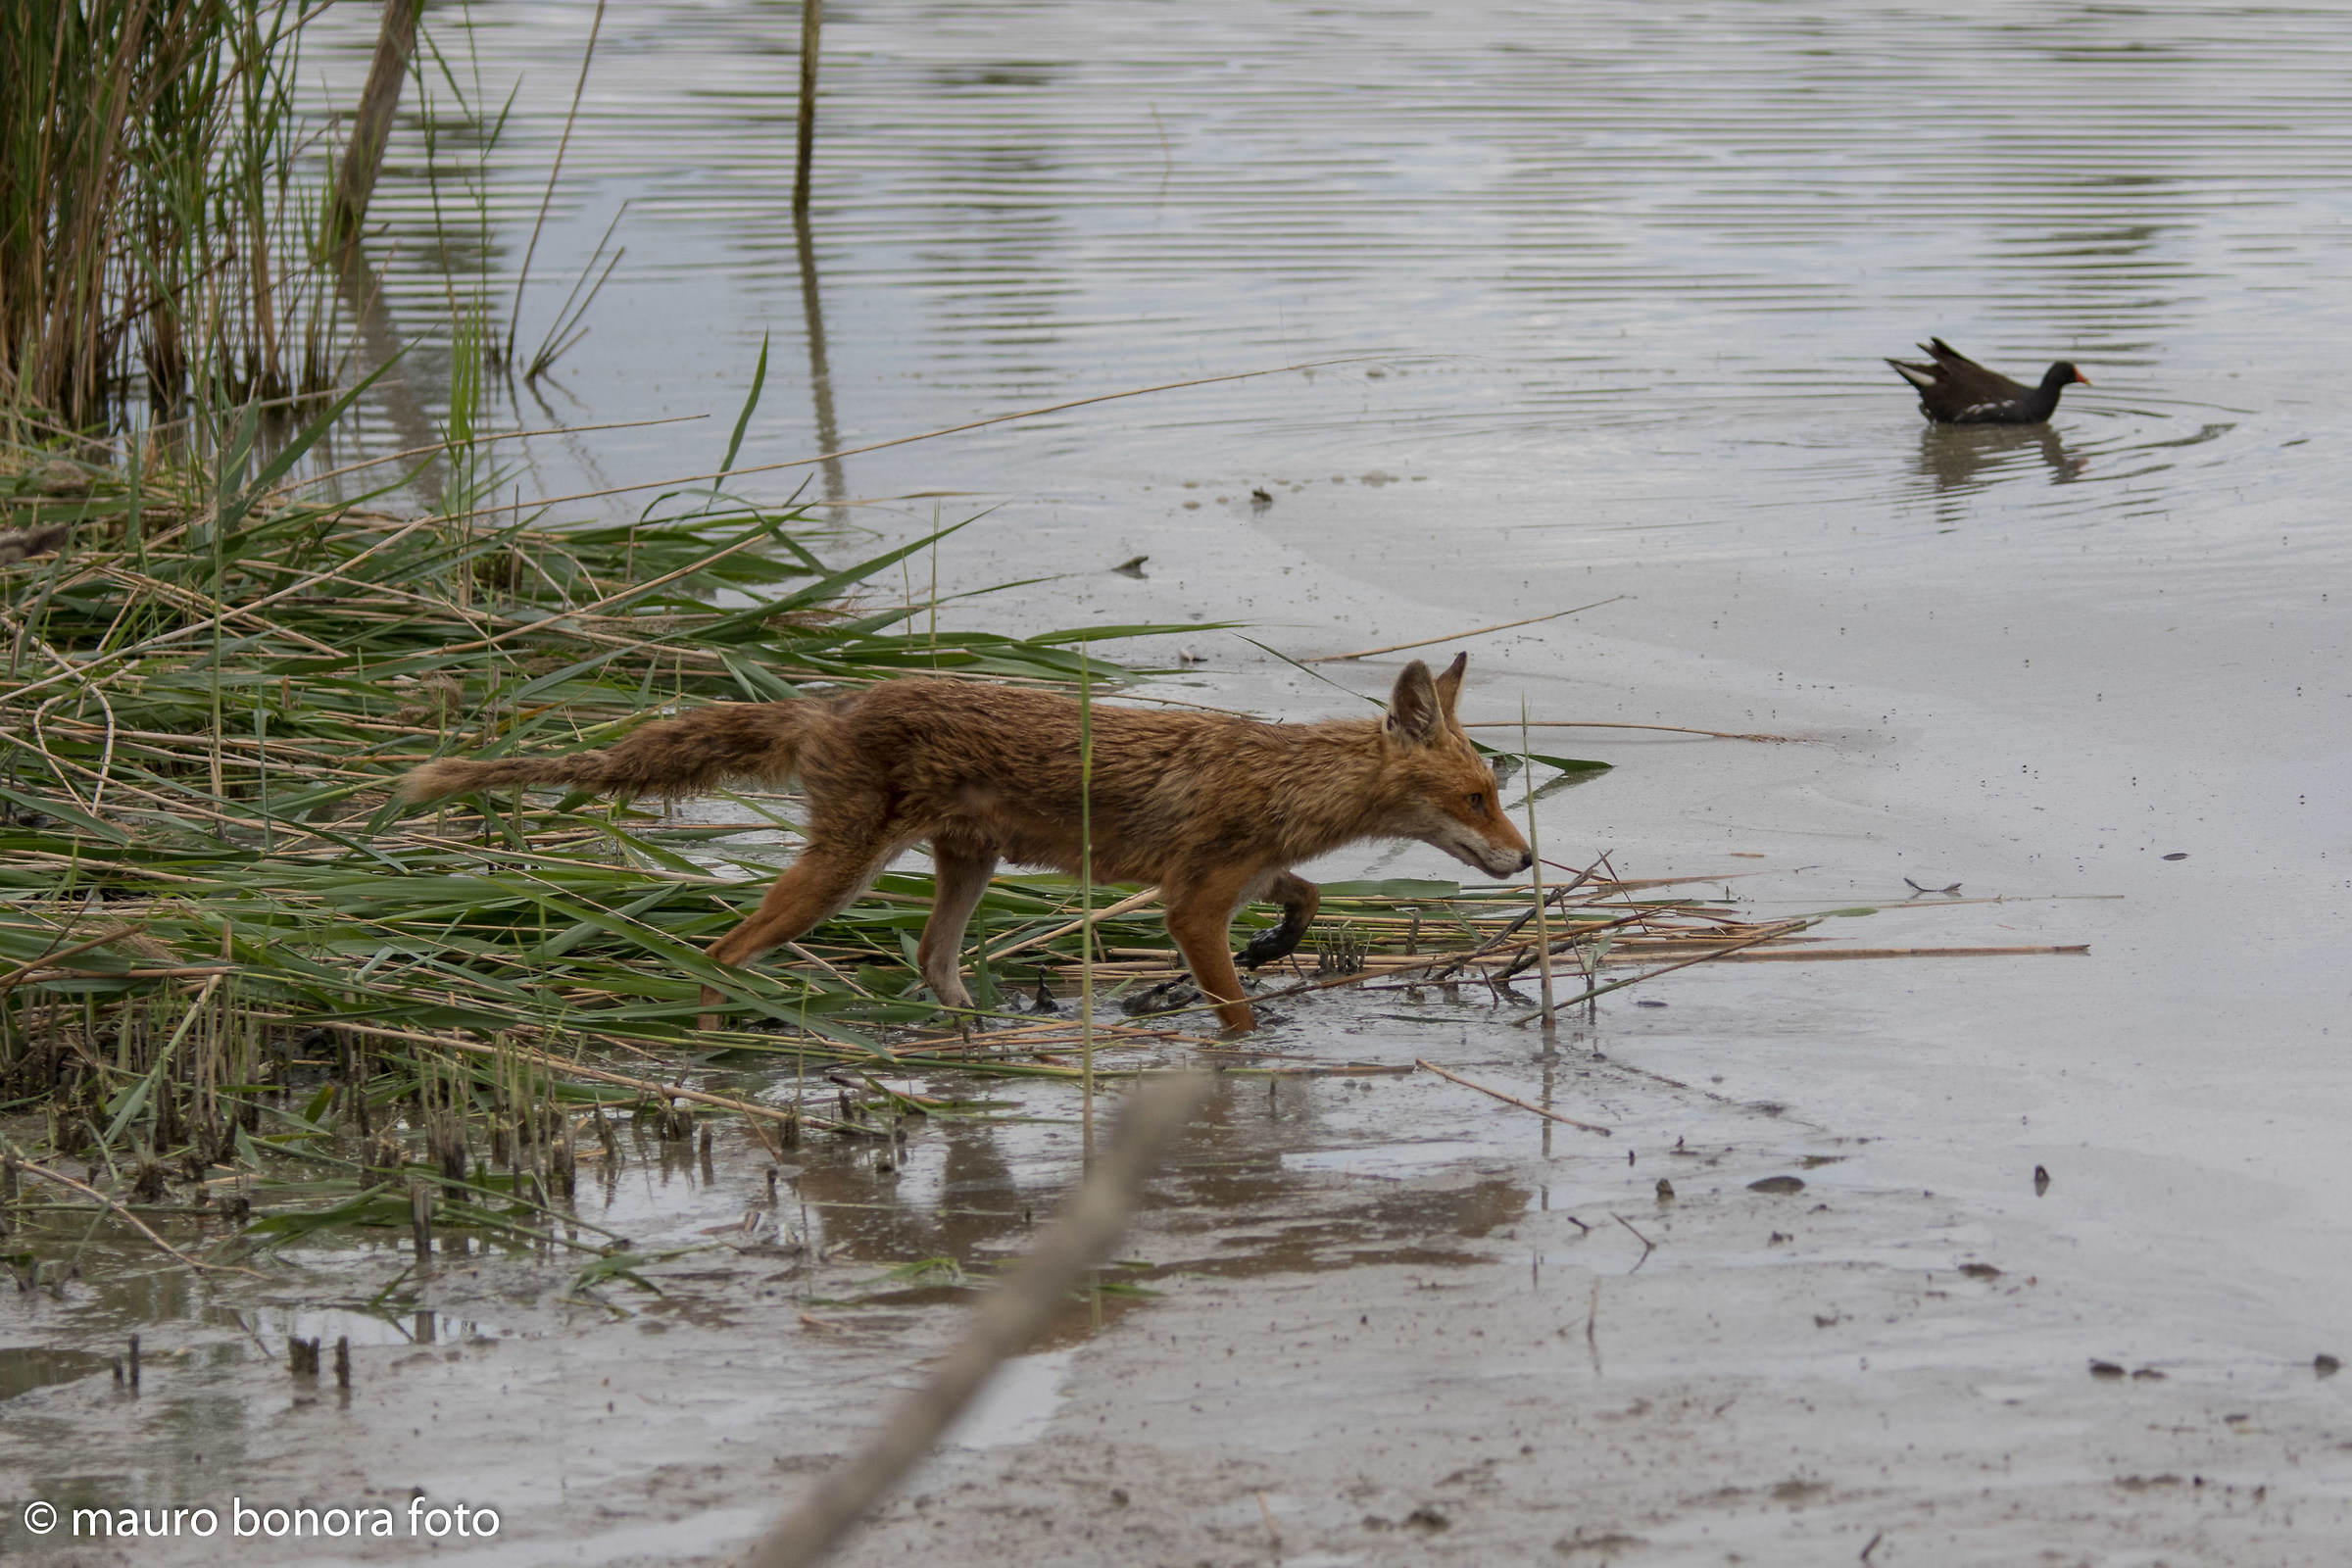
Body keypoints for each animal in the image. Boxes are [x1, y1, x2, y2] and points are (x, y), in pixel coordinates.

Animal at [397, 651, 1533, 1033]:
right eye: (1480, 797)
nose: (1525, 862)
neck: (1287, 780)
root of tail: (830, 704)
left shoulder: (1228, 880)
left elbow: (1307, 900)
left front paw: (1281, 944)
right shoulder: (1188, 903)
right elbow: (1239, 1013)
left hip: (966, 869)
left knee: (931, 961)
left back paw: (968, 1032)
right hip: (837, 876)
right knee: (720, 948)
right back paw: (726, 1026)